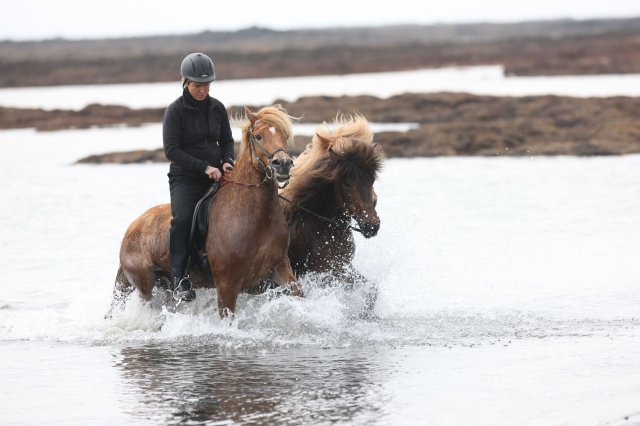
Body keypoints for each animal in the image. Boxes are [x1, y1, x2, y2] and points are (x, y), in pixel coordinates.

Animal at [111, 104, 304, 316]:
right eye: (259, 136)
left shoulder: (280, 268)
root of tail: (131, 229)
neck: (256, 217)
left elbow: (300, 294)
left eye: (285, 135)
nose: (283, 164)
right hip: (146, 286)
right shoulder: (227, 285)